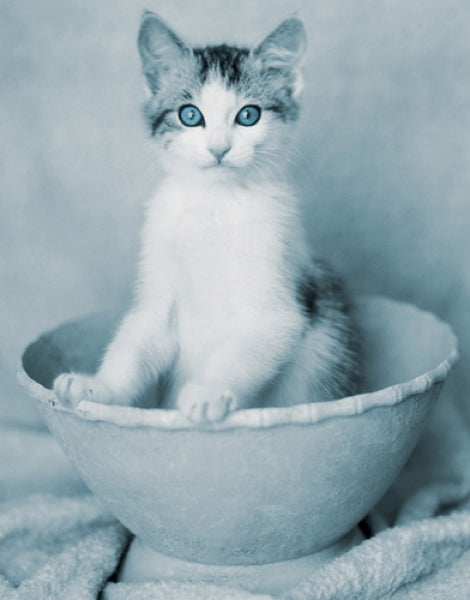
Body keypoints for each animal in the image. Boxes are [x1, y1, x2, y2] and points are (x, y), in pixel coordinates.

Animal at [53, 15, 358, 426]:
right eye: (190, 115)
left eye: (248, 115)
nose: (219, 148)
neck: (215, 203)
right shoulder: (160, 290)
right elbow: (137, 343)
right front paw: (97, 387)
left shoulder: (275, 302)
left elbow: (247, 346)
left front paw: (208, 392)